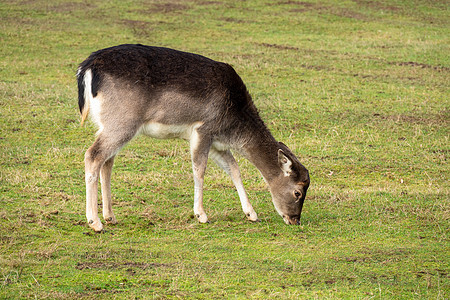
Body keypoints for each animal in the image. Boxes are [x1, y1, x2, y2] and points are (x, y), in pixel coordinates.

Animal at [77, 44, 310, 232]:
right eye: (298, 192)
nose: (295, 220)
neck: (232, 126)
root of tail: (87, 68)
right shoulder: (203, 129)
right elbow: (199, 169)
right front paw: (201, 215)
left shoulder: (217, 142)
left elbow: (234, 169)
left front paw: (251, 213)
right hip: (122, 121)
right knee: (92, 155)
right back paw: (95, 222)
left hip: (108, 124)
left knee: (107, 161)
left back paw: (110, 216)